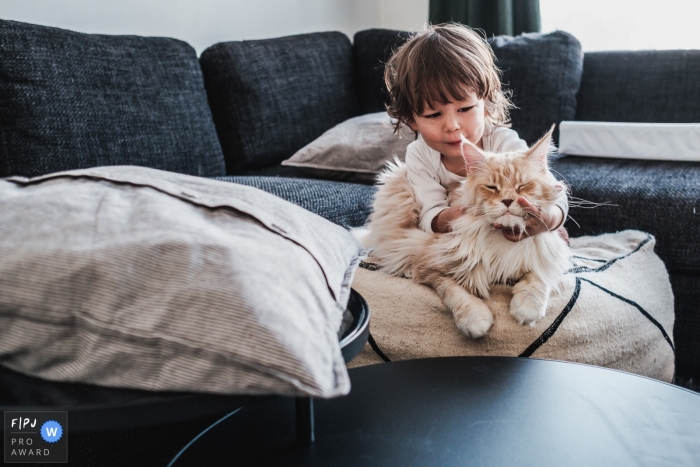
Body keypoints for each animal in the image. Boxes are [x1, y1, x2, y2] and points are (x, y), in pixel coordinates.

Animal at [364, 127, 572, 340]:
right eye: (491, 187)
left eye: (522, 186)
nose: (507, 201)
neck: (500, 239)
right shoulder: (431, 264)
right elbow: (454, 292)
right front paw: (474, 319)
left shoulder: (547, 254)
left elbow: (539, 277)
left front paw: (528, 308)